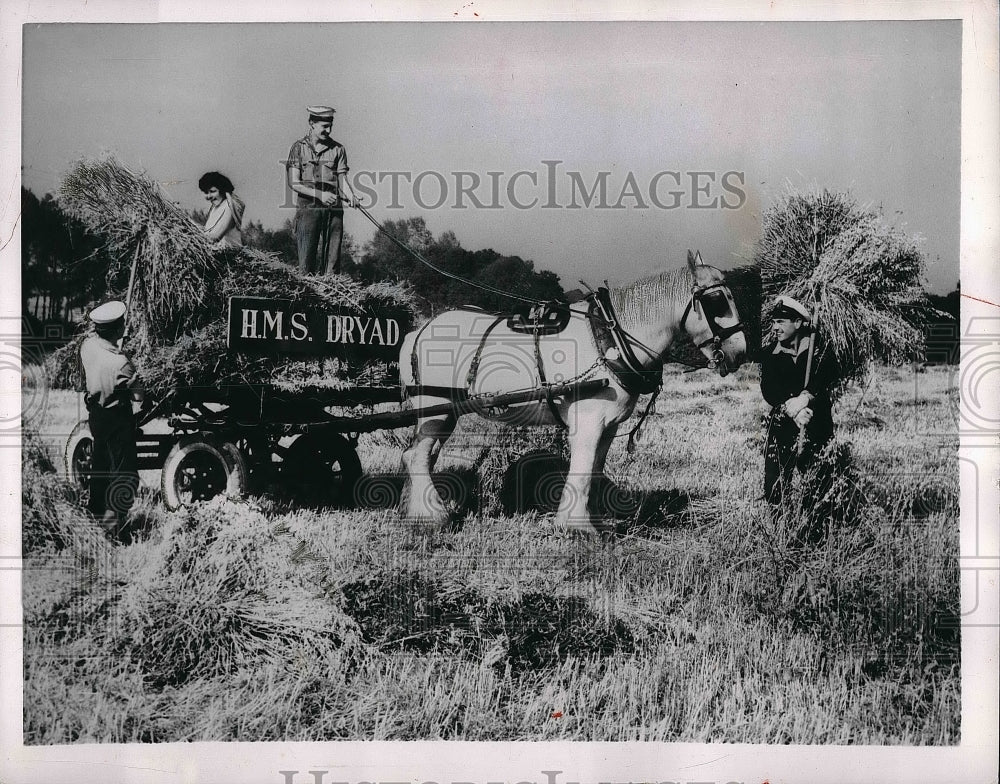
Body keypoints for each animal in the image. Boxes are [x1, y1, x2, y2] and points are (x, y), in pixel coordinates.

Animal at [396, 251, 744, 532]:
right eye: (717, 301)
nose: (740, 352)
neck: (610, 338)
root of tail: (419, 331)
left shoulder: (608, 425)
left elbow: (594, 469)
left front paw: (594, 521)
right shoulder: (587, 421)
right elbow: (582, 467)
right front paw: (576, 526)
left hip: (444, 411)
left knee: (421, 455)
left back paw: (417, 512)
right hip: (435, 405)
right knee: (417, 457)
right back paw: (433, 518)